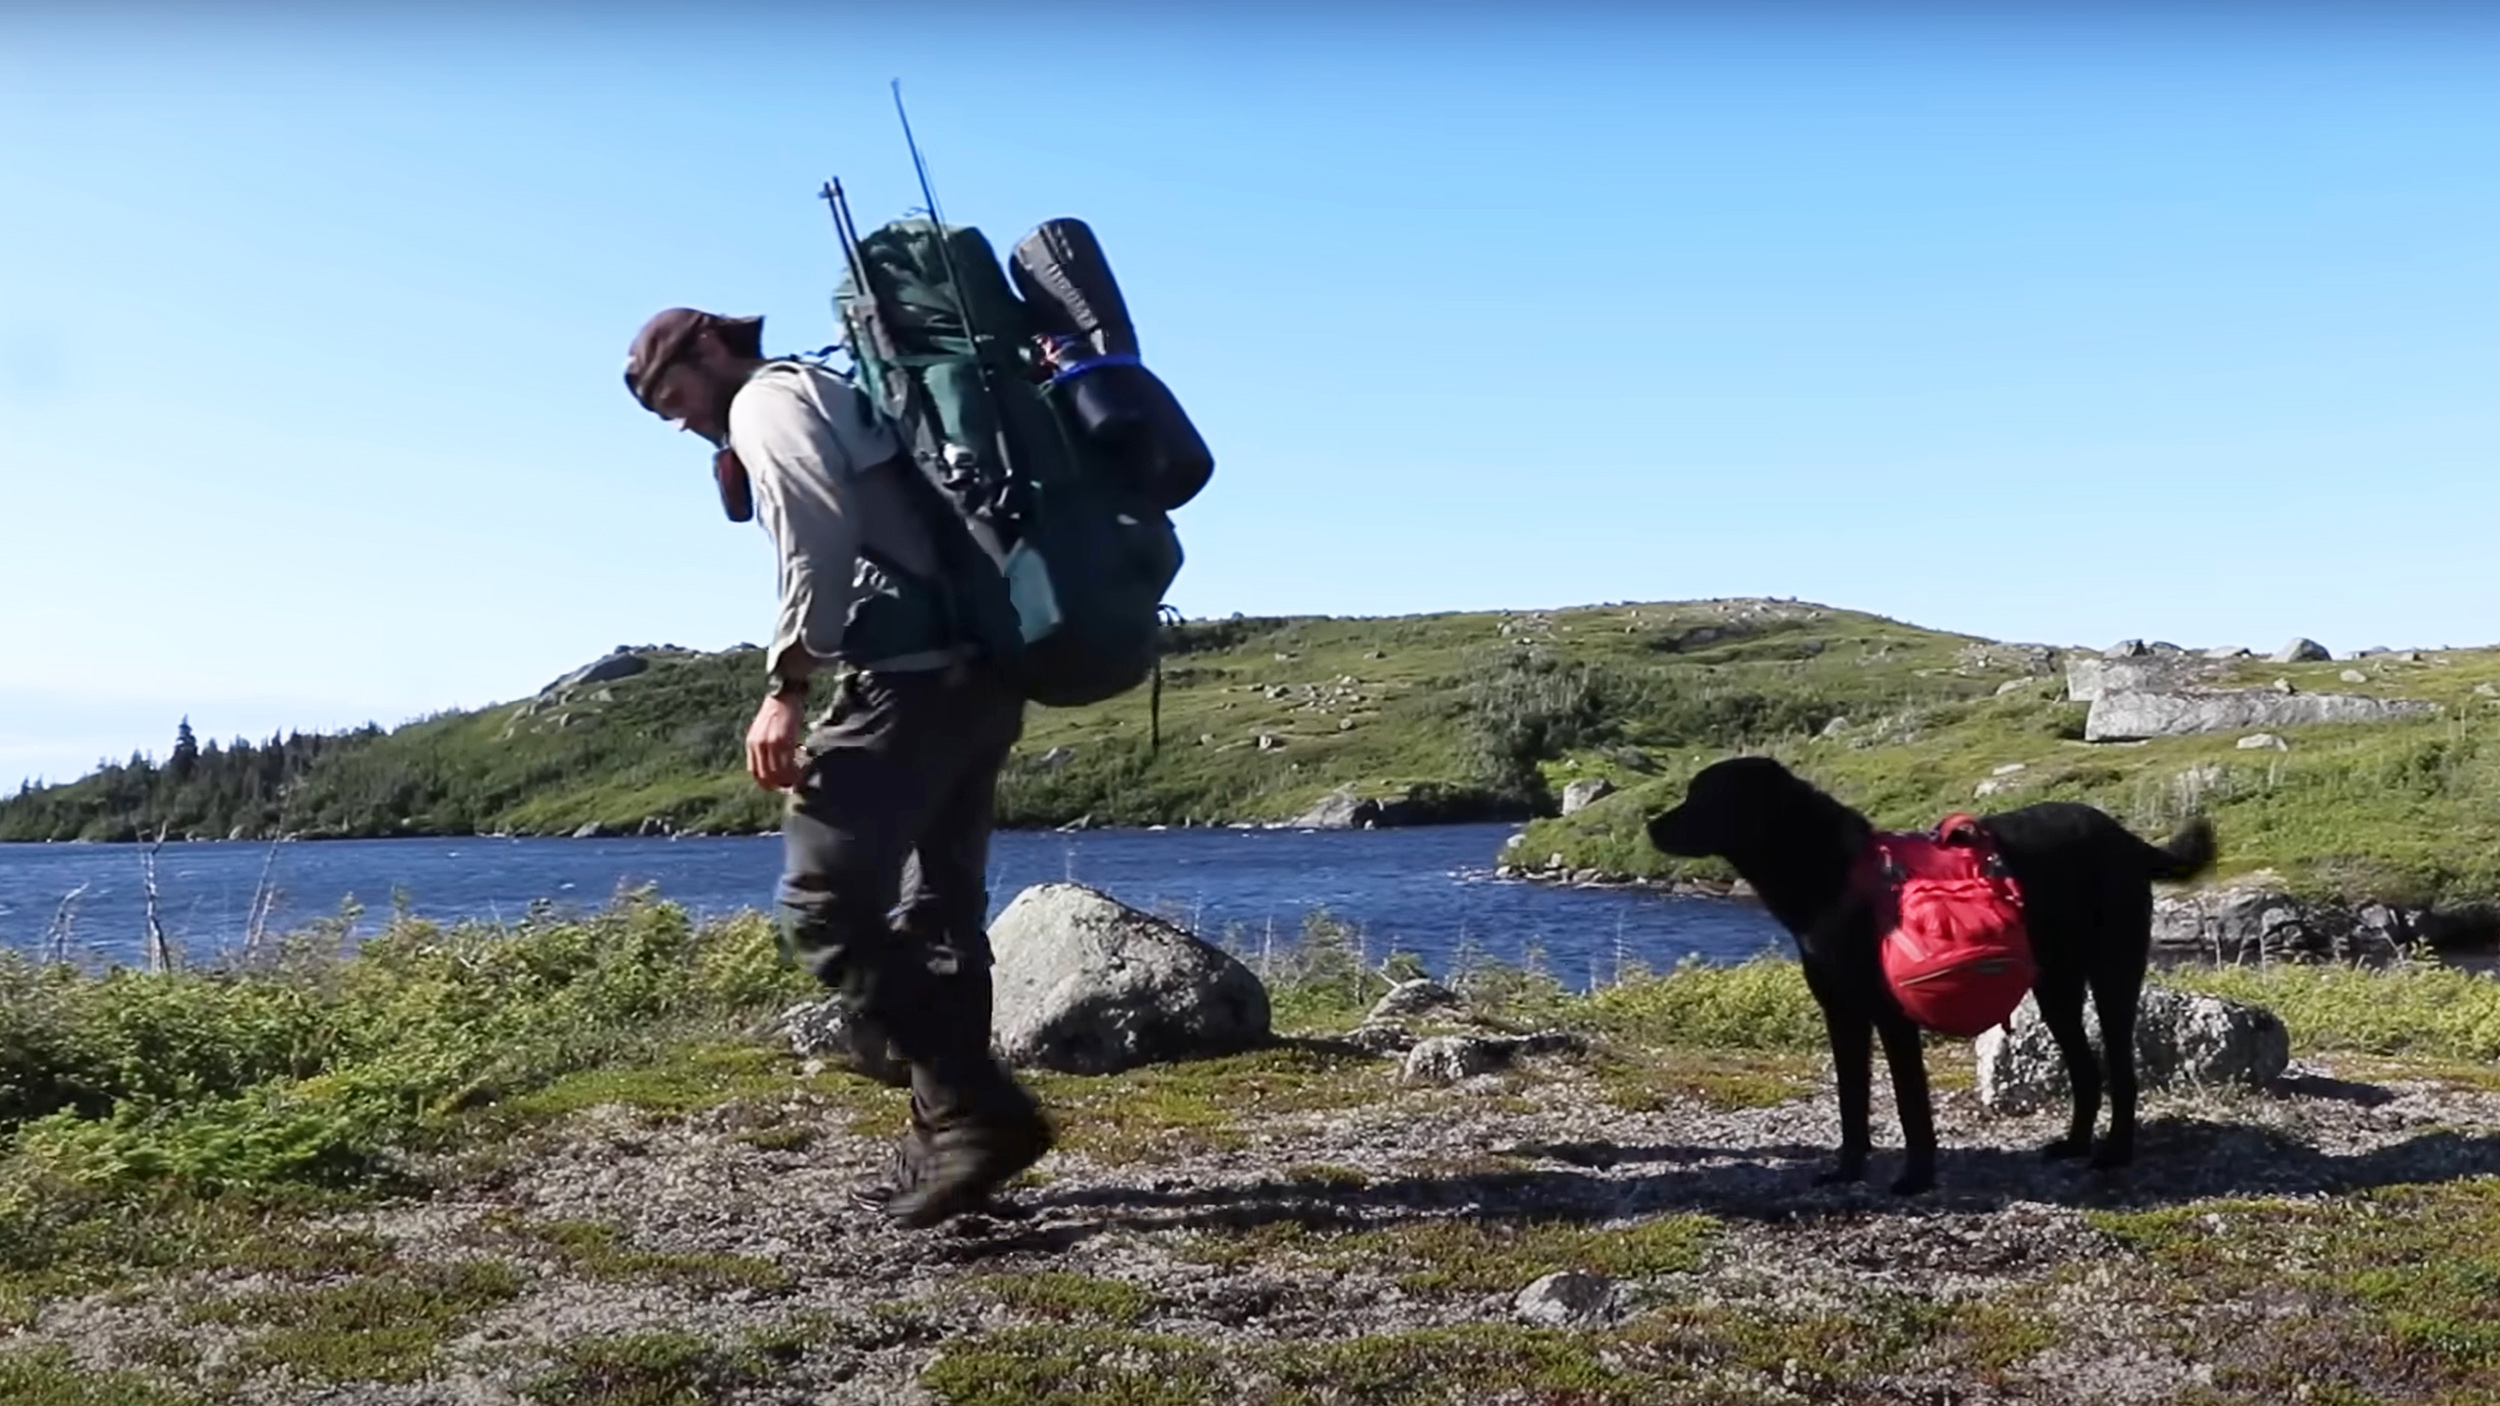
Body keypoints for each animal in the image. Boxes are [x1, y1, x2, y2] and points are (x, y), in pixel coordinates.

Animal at [1650, 750, 2220, 1185]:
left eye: (1702, 796)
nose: (1650, 824)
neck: (1829, 870)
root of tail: (2128, 840)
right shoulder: (1843, 1015)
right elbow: (1851, 1103)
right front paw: (1847, 1173)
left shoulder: (1892, 1019)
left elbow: (1910, 1106)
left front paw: (1916, 1179)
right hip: (2056, 986)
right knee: (2086, 1070)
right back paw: (2075, 1145)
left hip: (2113, 974)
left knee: (2121, 1071)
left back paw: (2114, 1153)